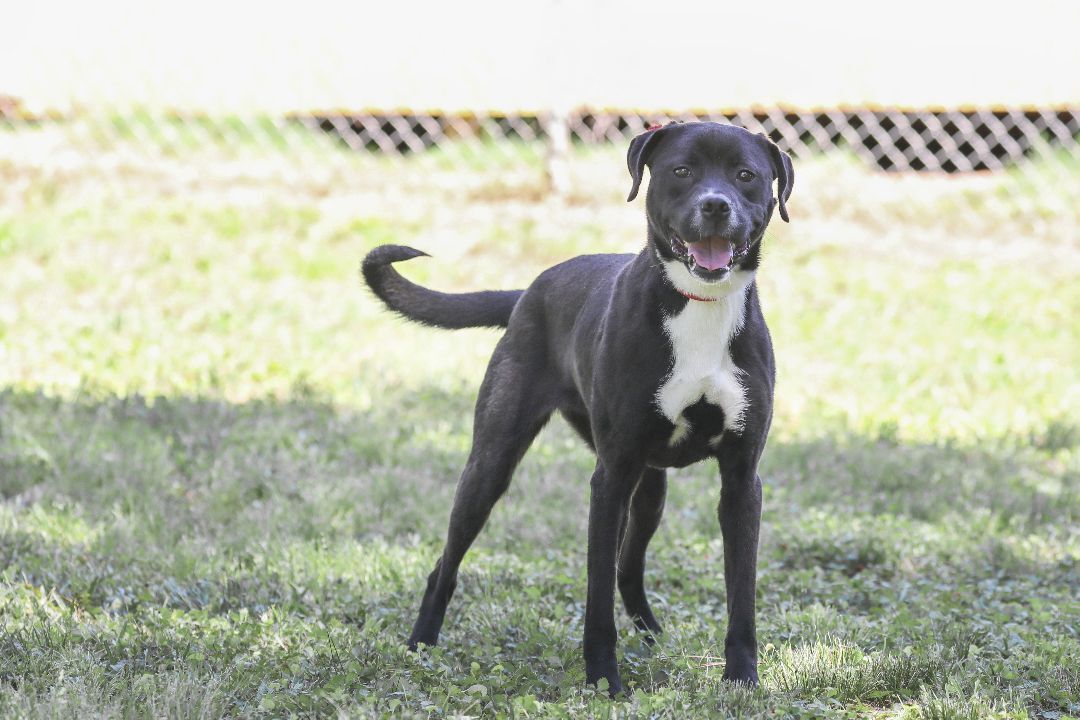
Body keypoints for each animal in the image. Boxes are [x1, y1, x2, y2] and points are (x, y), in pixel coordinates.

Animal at [362, 120, 794, 695]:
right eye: (682, 170)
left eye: (746, 175)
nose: (716, 205)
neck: (697, 305)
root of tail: (528, 291)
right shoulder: (609, 478)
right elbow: (596, 596)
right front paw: (604, 680)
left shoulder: (742, 480)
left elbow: (741, 596)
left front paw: (742, 679)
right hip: (492, 465)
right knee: (447, 562)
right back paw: (420, 645)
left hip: (649, 487)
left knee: (628, 568)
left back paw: (654, 638)